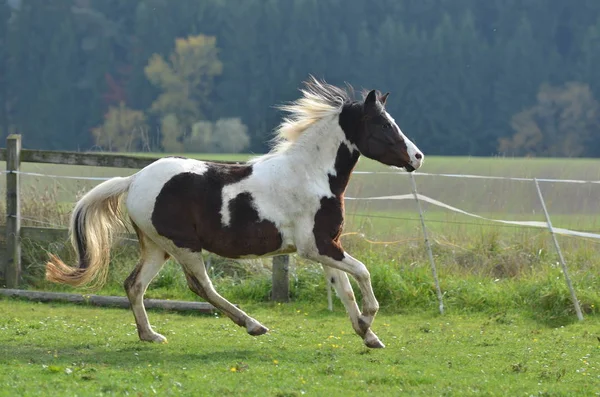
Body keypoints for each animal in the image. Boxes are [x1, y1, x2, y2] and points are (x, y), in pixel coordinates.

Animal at [45, 76, 422, 348]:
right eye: (384, 124)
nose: (417, 157)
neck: (311, 174)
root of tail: (134, 179)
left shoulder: (325, 248)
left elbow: (344, 288)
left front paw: (368, 336)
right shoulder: (316, 247)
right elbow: (363, 273)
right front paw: (369, 321)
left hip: (156, 247)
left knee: (134, 284)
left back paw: (150, 335)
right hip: (183, 246)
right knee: (201, 287)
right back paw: (254, 326)